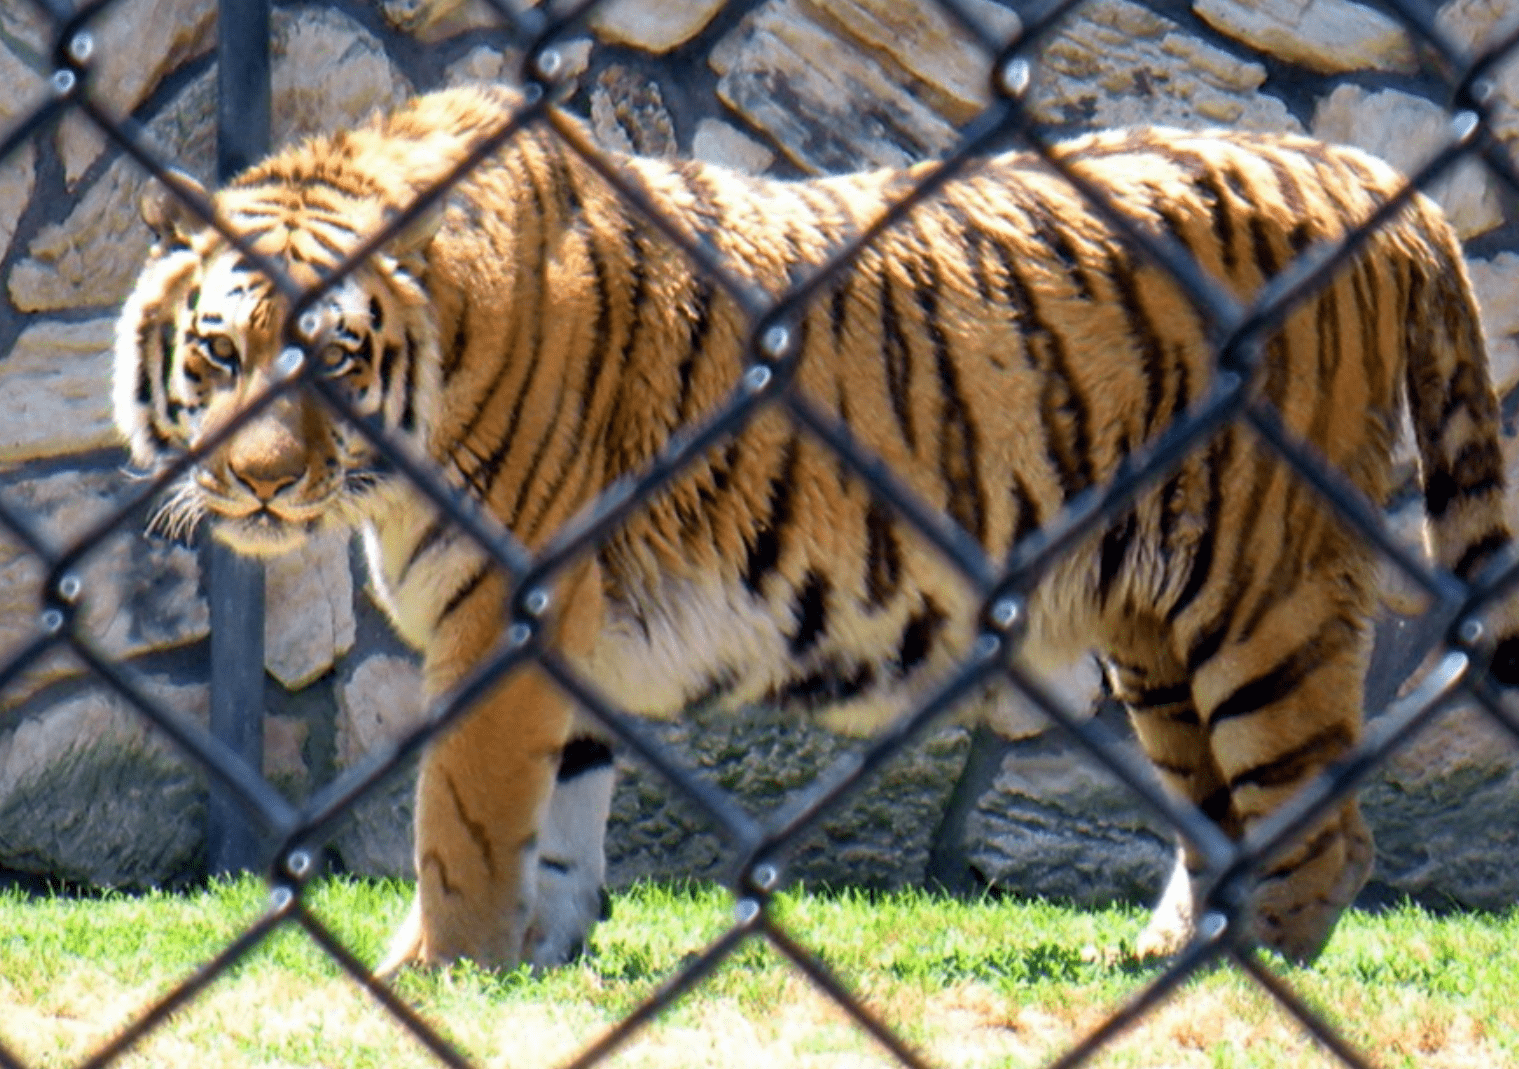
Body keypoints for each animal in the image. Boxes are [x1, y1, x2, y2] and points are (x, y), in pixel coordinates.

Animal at [112, 81, 1519, 971]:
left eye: (338, 362)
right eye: (221, 351)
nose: (258, 484)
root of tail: (1359, 168)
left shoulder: (500, 611)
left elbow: (461, 814)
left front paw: (435, 970)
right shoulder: (564, 631)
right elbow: (557, 818)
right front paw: (536, 964)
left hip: (1259, 590)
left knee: (1323, 831)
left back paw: (1241, 989)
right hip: (1159, 630)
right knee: (1224, 814)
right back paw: (1169, 953)